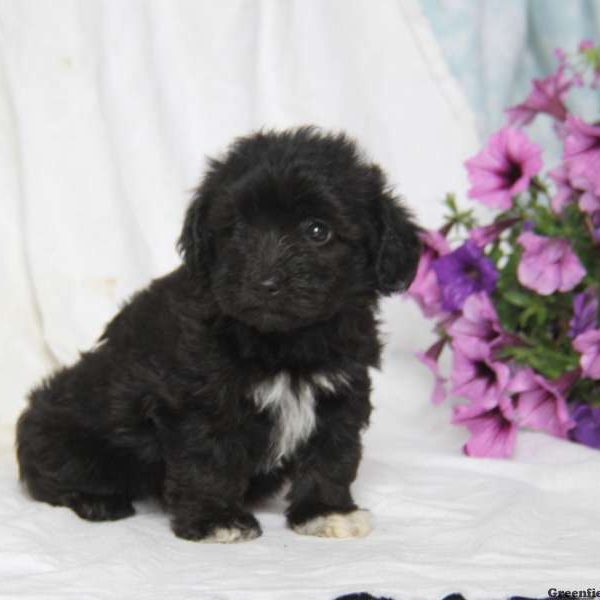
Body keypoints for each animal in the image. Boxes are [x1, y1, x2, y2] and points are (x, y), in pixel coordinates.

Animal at [17, 129, 422, 540]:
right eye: (237, 229)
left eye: (317, 231)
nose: (265, 282)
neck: (284, 344)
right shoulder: (201, 397)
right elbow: (207, 457)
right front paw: (216, 519)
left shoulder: (339, 391)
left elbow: (332, 454)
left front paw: (325, 511)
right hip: (67, 429)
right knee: (50, 474)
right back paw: (96, 501)